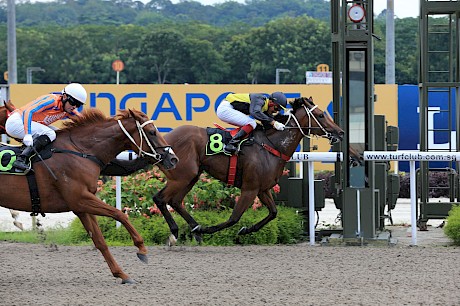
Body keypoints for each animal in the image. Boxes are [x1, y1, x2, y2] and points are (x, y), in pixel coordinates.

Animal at [0, 108, 178, 284]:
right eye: (152, 132)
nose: (173, 158)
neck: (81, 151)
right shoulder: (80, 199)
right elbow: (119, 214)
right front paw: (141, 248)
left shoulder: (82, 206)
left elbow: (100, 241)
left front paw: (122, 274)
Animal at [155, 96, 344, 244]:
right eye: (321, 115)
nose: (341, 132)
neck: (272, 145)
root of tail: (164, 140)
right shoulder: (249, 189)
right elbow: (234, 218)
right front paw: (207, 230)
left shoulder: (262, 189)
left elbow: (273, 212)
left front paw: (246, 229)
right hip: (182, 177)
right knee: (160, 198)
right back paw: (177, 231)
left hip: (191, 176)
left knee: (175, 201)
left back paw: (193, 228)